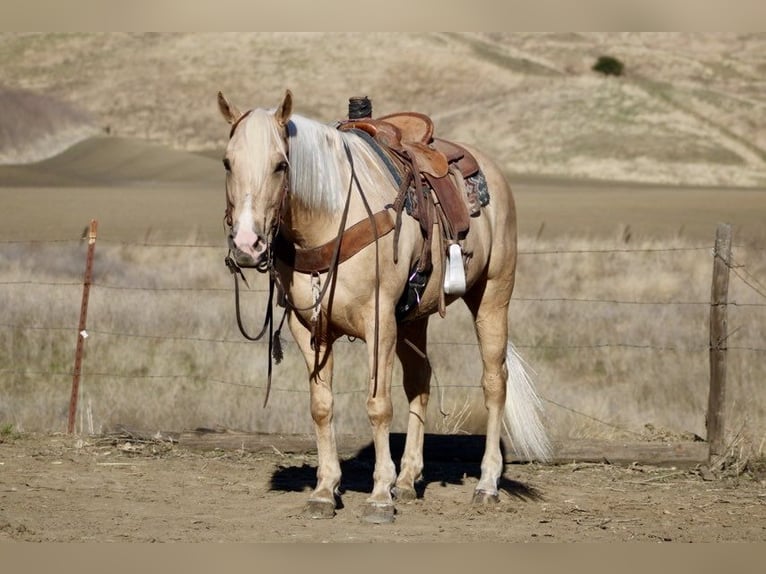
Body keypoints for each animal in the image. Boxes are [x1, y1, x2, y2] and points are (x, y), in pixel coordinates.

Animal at [218, 89, 550, 523]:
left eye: (281, 164)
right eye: (227, 162)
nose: (247, 244)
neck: (329, 219)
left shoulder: (378, 323)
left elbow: (378, 405)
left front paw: (379, 496)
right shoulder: (309, 329)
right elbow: (321, 406)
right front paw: (325, 491)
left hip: (493, 296)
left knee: (494, 383)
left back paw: (487, 483)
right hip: (413, 319)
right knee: (420, 382)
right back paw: (408, 481)